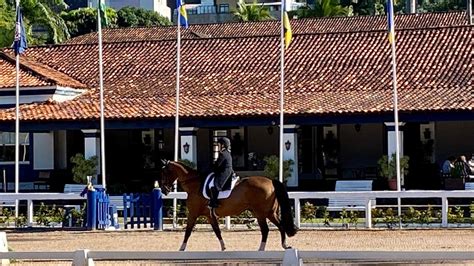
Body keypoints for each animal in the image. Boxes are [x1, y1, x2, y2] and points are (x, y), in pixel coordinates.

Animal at [161, 160, 298, 251]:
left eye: (164, 172)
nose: (164, 190)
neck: (195, 185)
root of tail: (270, 181)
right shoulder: (209, 215)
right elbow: (217, 231)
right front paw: (223, 247)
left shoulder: (193, 214)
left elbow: (188, 231)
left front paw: (181, 248)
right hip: (270, 213)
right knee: (281, 226)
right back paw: (285, 245)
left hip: (260, 213)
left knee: (266, 230)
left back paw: (261, 249)